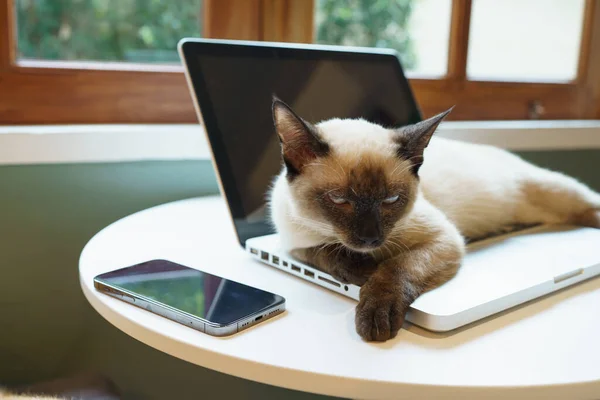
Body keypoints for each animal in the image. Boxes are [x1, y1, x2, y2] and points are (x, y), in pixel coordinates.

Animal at [268, 98, 600, 342]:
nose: (370, 238)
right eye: (339, 200)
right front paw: (361, 271)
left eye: (391, 200)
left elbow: (395, 268)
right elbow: (325, 254)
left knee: (589, 204)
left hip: (556, 189)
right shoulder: (295, 245)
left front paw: (375, 314)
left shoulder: (443, 238)